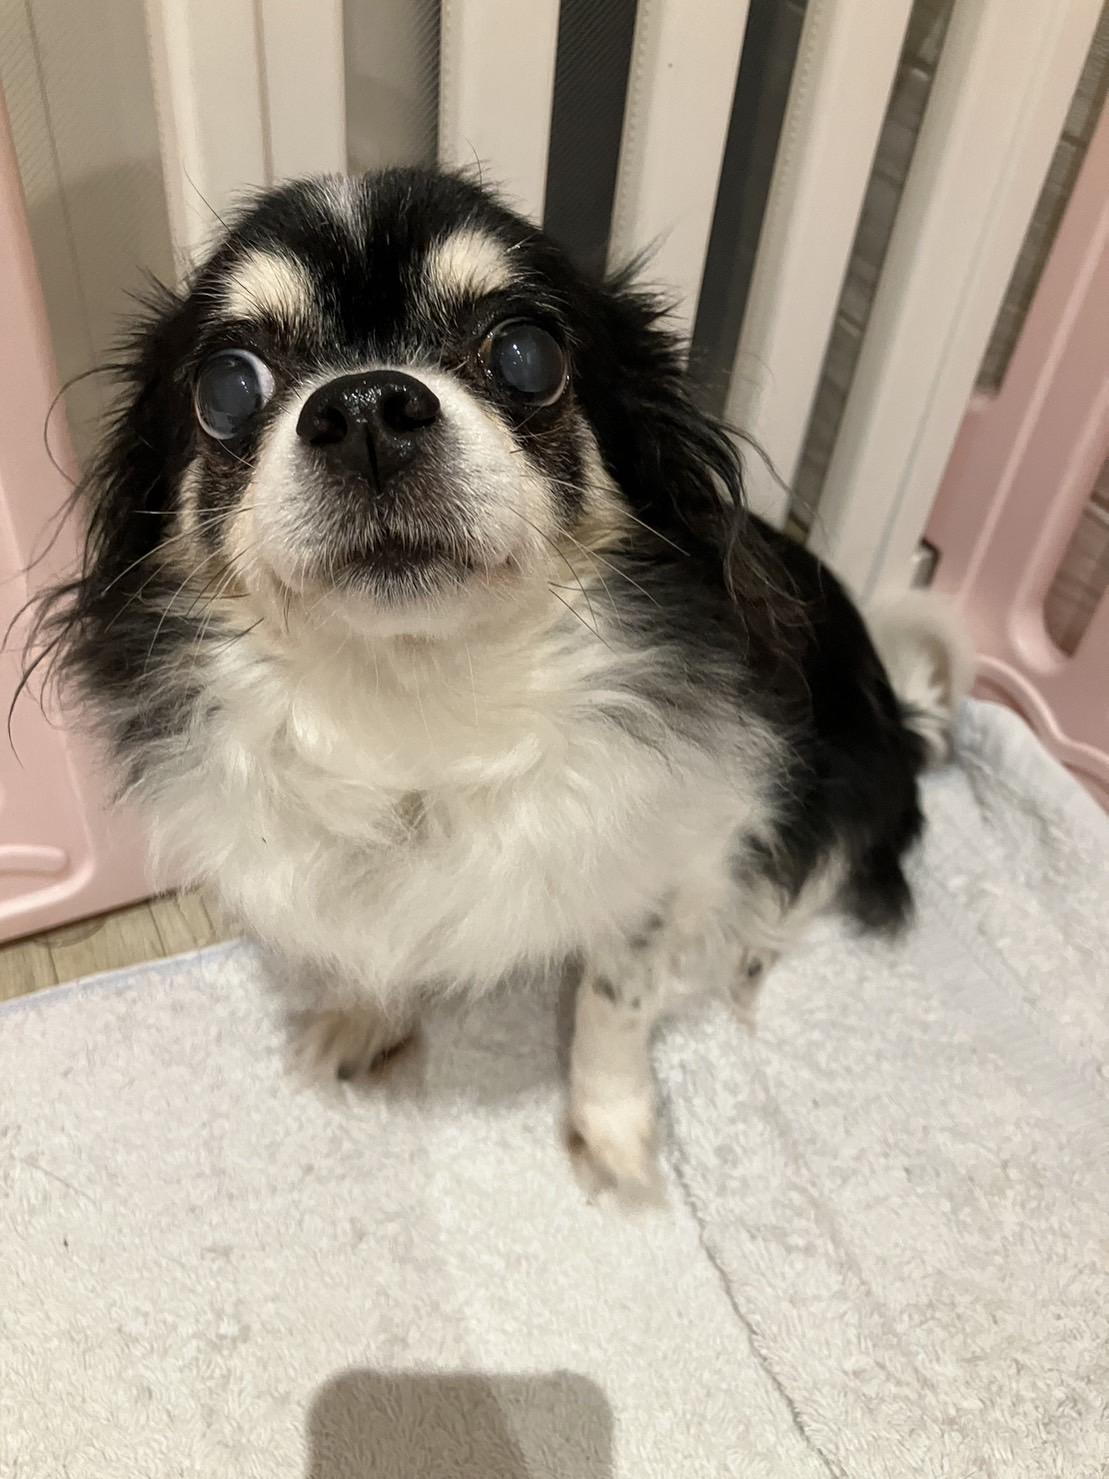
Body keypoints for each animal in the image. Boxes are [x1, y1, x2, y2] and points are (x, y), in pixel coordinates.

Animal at [28, 169, 970, 1193]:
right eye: (228, 386)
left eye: (526, 355)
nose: (366, 406)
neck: (418, 705)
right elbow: (377, 950)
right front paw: (368, 1020)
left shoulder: (674, 852)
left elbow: (613, 999)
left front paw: (612, 1127)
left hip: (849, 778)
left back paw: (746, 951)